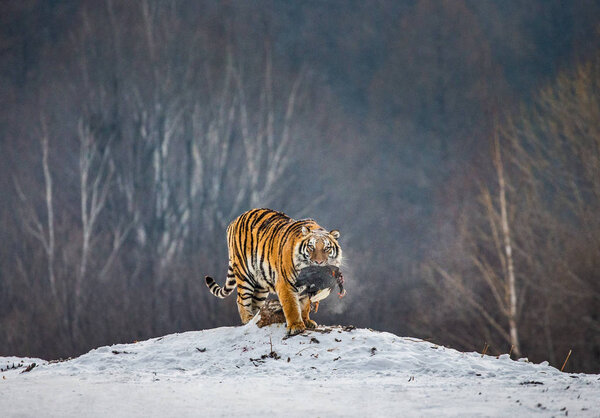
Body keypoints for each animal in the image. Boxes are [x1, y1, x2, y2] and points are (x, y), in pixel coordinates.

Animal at [204, 209, 342, 336]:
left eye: (327, 248)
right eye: (311, 247)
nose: (319, 262)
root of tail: (234, 220)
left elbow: (305, 305)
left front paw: (307, 321)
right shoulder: (285, 284)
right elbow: (291, 306)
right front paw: (296, 326)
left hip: (260, 286)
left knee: (255, 303)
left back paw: (256, 320)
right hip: (244, 274)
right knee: (241, 300)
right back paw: (248, 319)